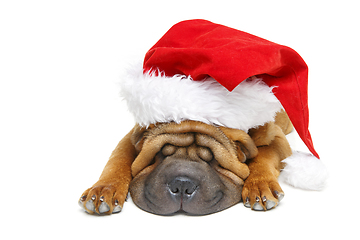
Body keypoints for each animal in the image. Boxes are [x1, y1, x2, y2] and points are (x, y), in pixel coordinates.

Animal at [78, 109, 292, 215]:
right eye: (160, 154)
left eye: (213, 160)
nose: (182, 185)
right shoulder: (130, 137)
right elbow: (118, 159)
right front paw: (104, 190)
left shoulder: (276, 138)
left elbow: (262, 158)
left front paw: (260, 187)